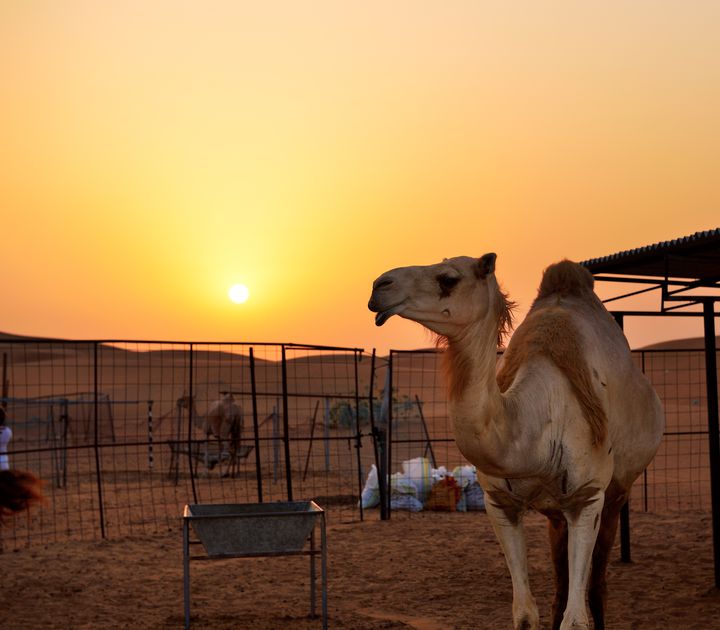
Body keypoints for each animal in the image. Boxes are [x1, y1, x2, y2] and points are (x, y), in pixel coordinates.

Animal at [372, 256, 664, 630]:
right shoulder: (501, 503)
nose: (379, 286)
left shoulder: (586, 498)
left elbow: (575, 620)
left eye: (448, 278)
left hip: (617, 492)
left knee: (597, 583)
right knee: (560, 577)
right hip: (556, 511)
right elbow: (525, 613)